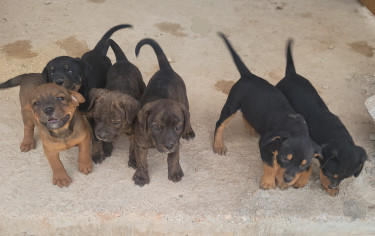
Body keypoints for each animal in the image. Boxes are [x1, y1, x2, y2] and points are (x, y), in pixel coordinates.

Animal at [133, 38, 197, 186]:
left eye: (178, 127)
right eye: (156, 127)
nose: (168, 146)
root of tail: (166, 69)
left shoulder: (176, 142)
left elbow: (173, 158)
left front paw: (175, 173)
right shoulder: (140, 144)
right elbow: (141, 162)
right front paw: (141, 176)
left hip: (184, 100)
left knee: (188, 115)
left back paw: (189, 132)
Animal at [213, 33, 322, 191]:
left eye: (303, 165)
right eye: (284, 157)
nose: (288, 179)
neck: (295, 126)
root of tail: (248, 75)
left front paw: (289, 182)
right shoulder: (264, 145)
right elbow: (270, 165)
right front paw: (269, 182)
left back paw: (250, 127)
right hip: (232, 104)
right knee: (219, 124)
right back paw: (218, 145)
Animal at [276, 39, 368, 196]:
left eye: (345, 178)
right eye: (329, 173)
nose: (332, 187)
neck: (337, 135)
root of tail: (291, 74)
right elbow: (304, 166)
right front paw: (295, 182)